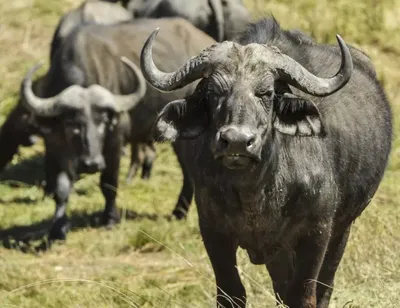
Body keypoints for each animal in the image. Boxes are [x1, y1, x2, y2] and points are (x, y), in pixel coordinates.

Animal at [18, 18, 214, 244]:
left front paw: (110, 219)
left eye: (103, 121)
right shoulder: (57, 144)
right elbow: (62, 187)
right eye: (71, 123)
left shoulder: (114, 141)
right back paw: (178, 213)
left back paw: (179, 211)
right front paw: (57, 229)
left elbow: (109, 183)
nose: (92, 163)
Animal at [141, 18, 394, 308]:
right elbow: (231, 292)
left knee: (325, 285)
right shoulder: (213, 231)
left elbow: (304, 294)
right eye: (214, 92)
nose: (237, 142)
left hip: (342, 229)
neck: (255, 192)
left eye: (267, 92)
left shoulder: (316, 234)